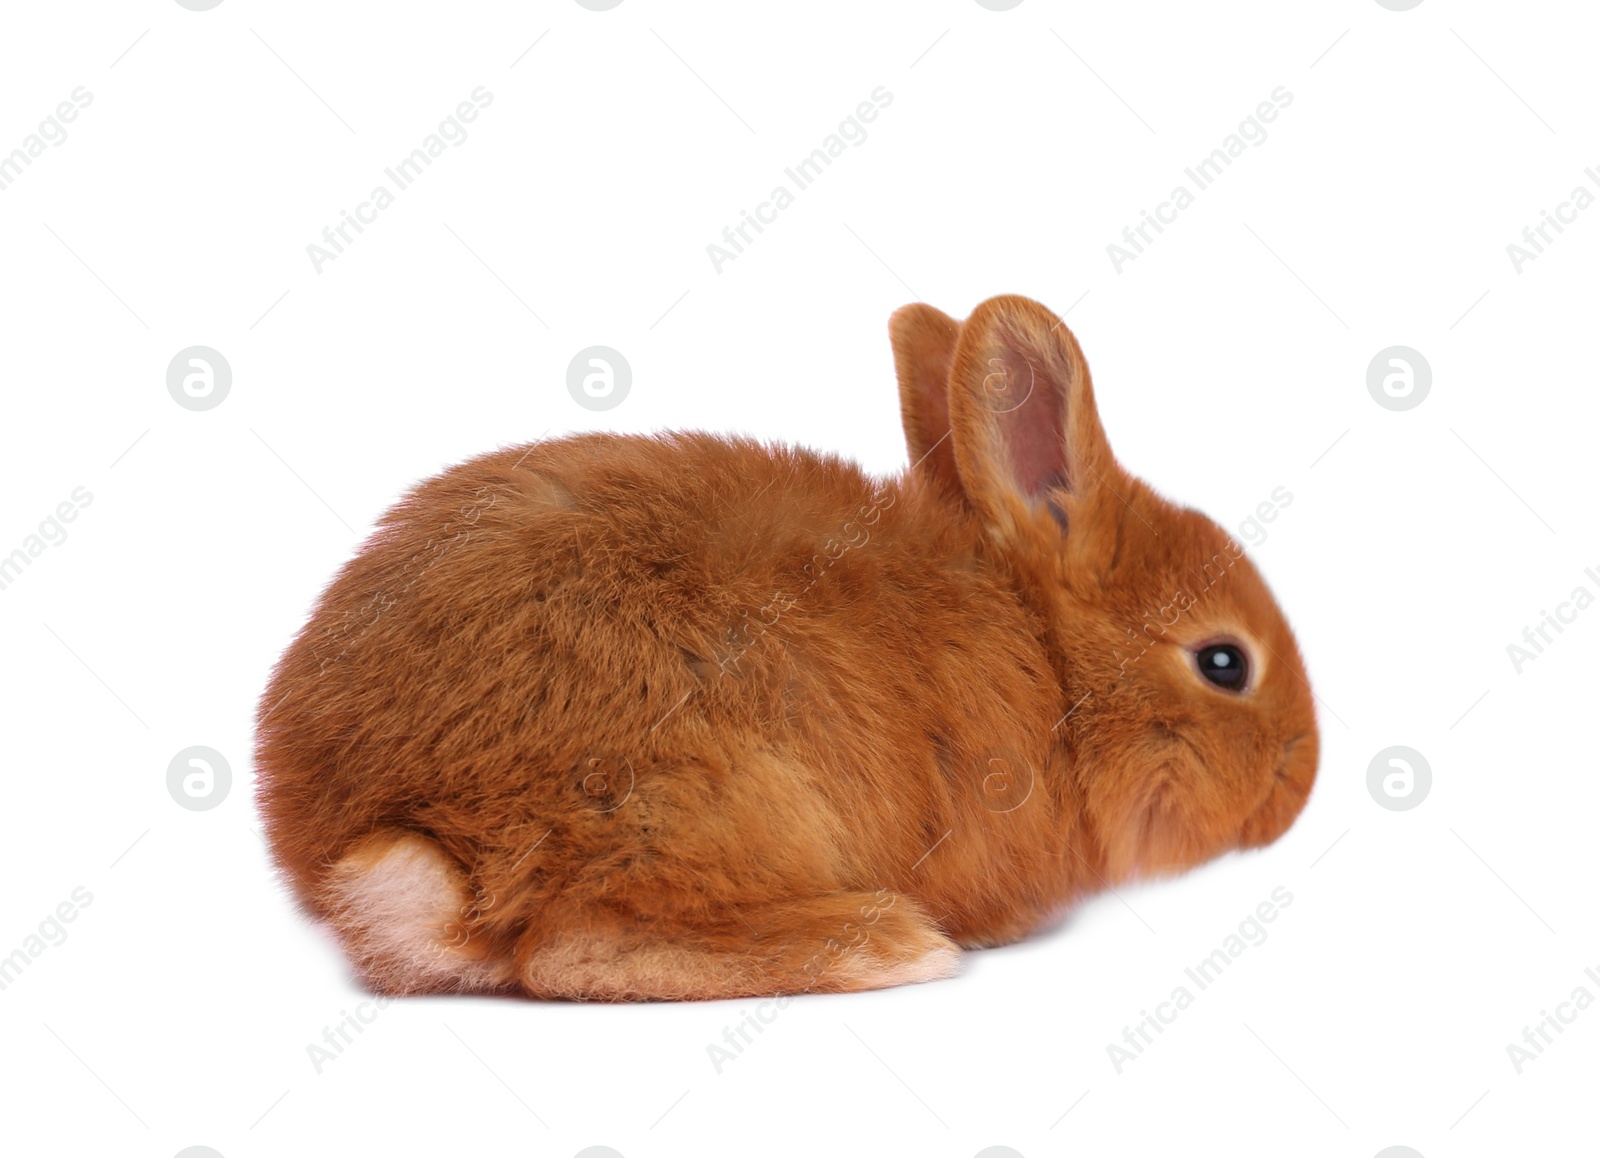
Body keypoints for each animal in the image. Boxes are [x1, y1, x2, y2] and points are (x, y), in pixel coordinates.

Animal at [256, 294, 1318, 998]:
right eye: (1224, 662)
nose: (1299, 788)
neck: (1047, 657)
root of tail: (388, 836)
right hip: (697, 793)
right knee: (579, 946)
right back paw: (887, 944)